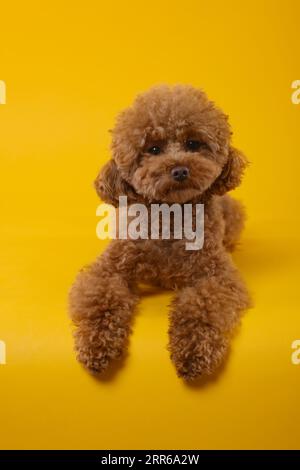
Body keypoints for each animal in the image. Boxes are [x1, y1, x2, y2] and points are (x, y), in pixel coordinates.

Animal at [69, 85, 250, 382]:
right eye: (153, 149)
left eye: (193, 144)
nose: (179, 170)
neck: (170, 219)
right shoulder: (108, 269)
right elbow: (101, 300)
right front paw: (95, 345)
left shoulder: (216, 275)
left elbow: (202, 307)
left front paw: (193, 352)